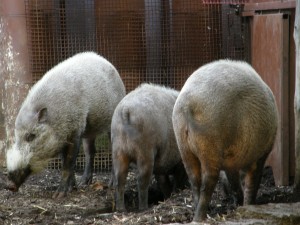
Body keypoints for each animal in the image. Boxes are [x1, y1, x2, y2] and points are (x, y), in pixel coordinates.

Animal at [5, 51, 125, 198]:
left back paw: (111, 185)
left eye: (31, 136)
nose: (9, 185)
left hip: (112, 123)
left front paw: (58, 195)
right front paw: (73, 188)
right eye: (16, 137)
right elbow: (65, 161)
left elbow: (68, 164)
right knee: (90, 152)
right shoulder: (68, 135)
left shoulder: (75, 131)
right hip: (89, 131)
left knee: (114, 151)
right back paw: (84, 183)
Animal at [111, 83, 188, 211]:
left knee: (120, 179)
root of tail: (126, 110)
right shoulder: (179, 162)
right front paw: (175, 194)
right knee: (142, 180)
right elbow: (176, 180)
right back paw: (143, 208)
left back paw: (121, 209)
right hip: (145, 150)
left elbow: (164, 183)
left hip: (118, 150)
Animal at [171, 59, 278, 221]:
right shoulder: (261, 154)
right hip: (210, 142)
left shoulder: (231, 162)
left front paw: (240, 202)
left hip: (183, 145)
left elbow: (234, 181)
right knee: (208, 181)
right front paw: (248, 205)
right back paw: (199, 218)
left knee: (194, 179)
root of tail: (187, 103)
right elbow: (252, 182)